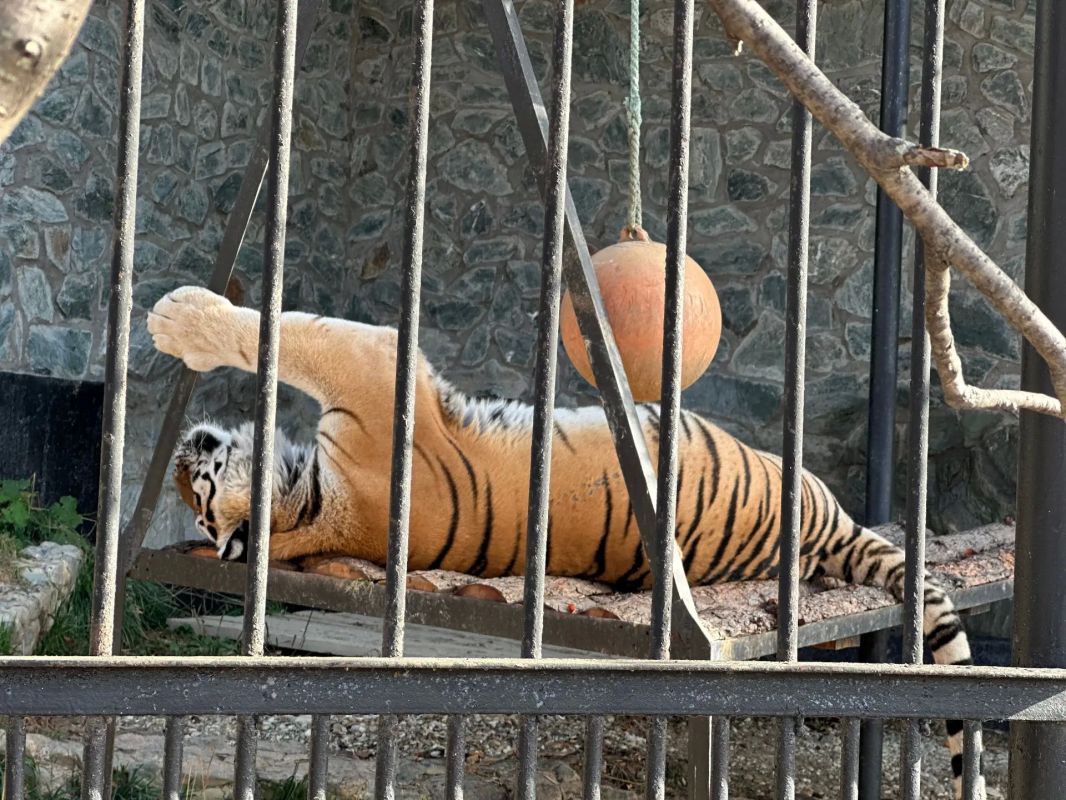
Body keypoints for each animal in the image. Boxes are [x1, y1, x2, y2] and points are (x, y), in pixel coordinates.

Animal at [149, 285, 984, 798]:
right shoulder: (374, 365)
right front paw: (177, 317)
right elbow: (286, 332)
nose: (186, 456)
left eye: (198, 496)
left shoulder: (373, 370)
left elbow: (287, 331)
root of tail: (822, 528)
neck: (313, 507)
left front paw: (174, 317)